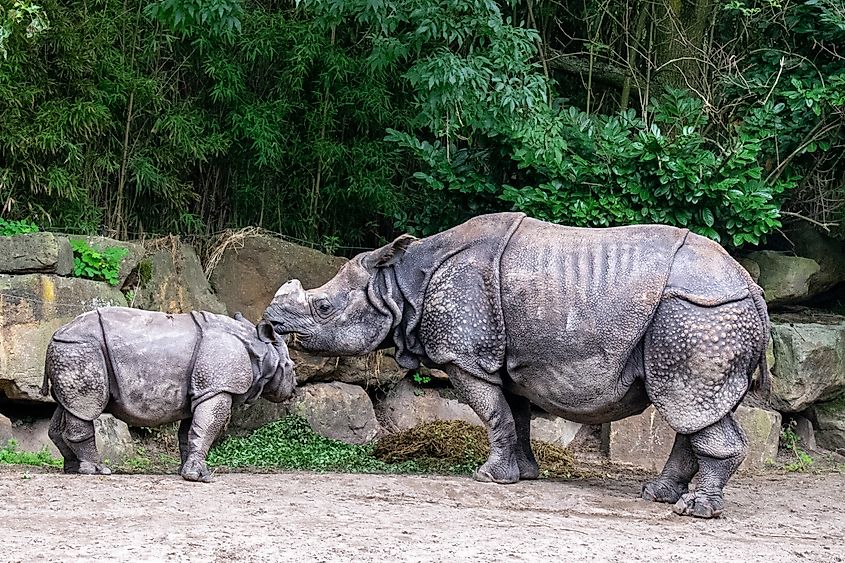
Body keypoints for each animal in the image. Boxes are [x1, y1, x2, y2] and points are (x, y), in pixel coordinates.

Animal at [41, 307, 296, 482]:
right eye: (291, 366)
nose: (293, 389)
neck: (260, 349)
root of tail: (55, 333)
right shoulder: (217, 388)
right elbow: (208, 428)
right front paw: (200, 477)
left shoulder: (201, 390)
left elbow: (191, 431)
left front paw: (186, 471)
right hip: (80, 349)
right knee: (86, 406)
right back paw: (98, 471)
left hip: (70, 351)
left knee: (69, 406)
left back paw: (73, 469)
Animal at [263, 212, 770, 518]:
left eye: (324, 307)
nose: (271, 321)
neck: (399, 285)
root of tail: (752, 287)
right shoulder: (507, 360)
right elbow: (515, 415)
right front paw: (525, 475)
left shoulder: (465, 355)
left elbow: (493, 414)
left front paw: (489, 477)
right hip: (701, 316)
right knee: (693, 409)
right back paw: (659, 496)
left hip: (698, 314)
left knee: (686, 402)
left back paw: (693, 510)